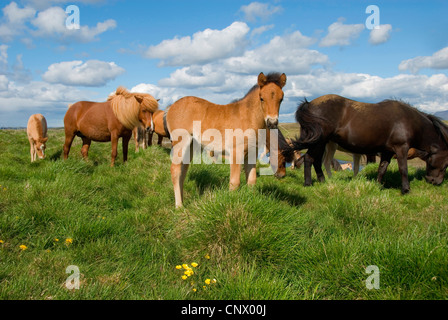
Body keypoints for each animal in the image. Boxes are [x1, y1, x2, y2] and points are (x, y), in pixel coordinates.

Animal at [164, 72, 288, 208]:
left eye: (281, 99)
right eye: (261, 98)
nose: (272, 123)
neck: (248, 117)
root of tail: (171, 107)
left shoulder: (251, 153)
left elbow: (251, 180)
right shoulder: (236, 153)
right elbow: (234, 182)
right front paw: (232, 206)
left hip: (191, 145)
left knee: (183, 171)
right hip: (181, 142)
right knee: (175, 170)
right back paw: (179, 206)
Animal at [282, 92, 448, 192]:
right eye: (447, 164)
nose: (434, 182)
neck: (409, 121)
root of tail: (309, 104)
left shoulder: (387, 151)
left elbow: (382, 168)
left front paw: (378, 185)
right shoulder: (401, 148)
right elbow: (403, 169)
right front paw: (405, 189)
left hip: (322, 143)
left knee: (316, 161)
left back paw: (323, 181)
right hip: (319, 142)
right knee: (310, 159)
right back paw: (308, 183)